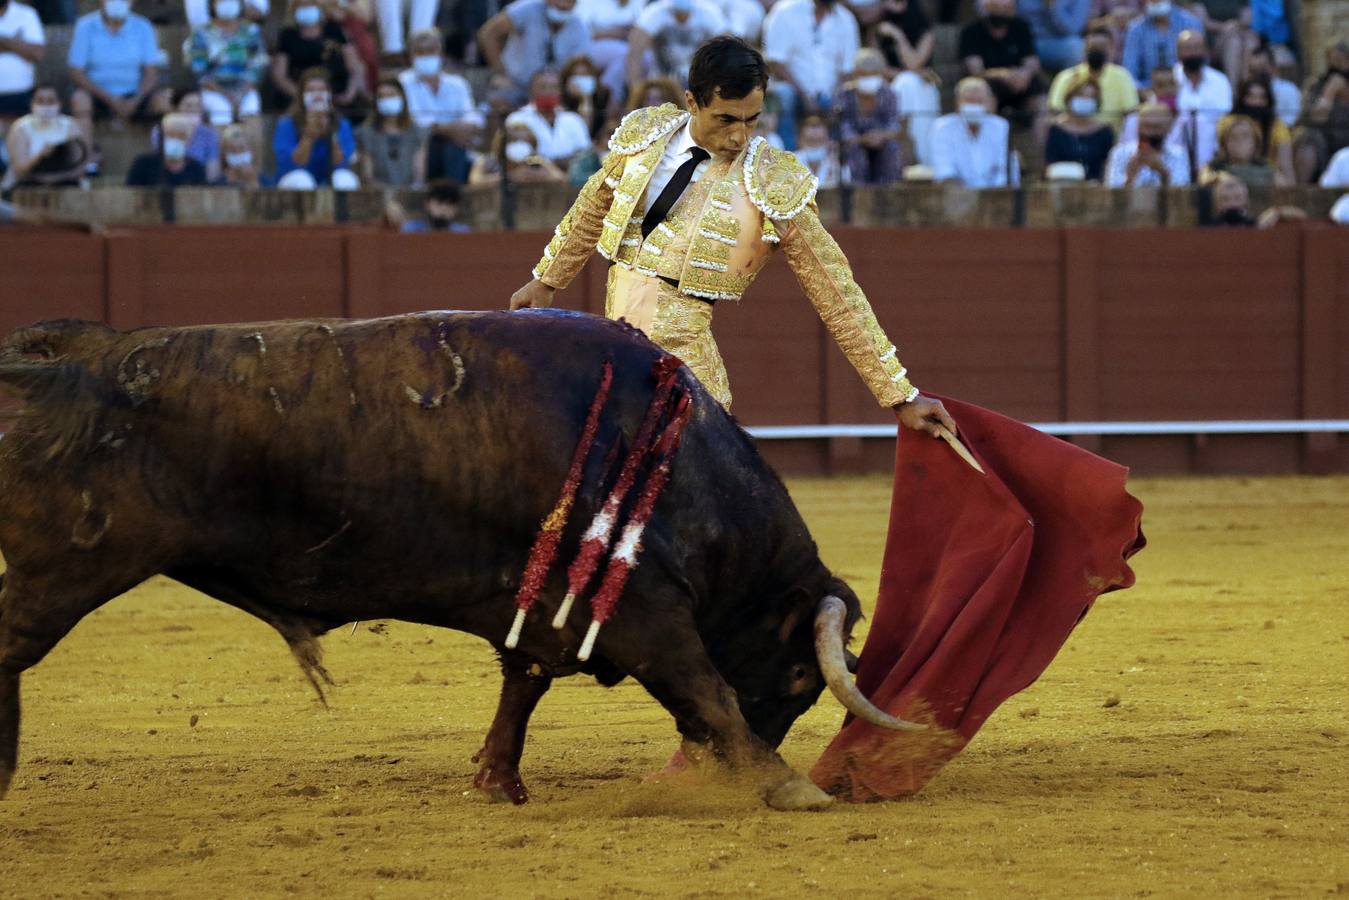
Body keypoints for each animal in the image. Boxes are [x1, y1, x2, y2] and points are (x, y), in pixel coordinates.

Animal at [0, 313, 917, 814]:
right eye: (797, 677)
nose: (706, 776)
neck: (675, 463)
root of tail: (61, 351)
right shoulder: (647, 608)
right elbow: (705, 685)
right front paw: (789, 785)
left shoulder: (541, 605)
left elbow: (522, 686)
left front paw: (494, 781)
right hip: (61, 572)